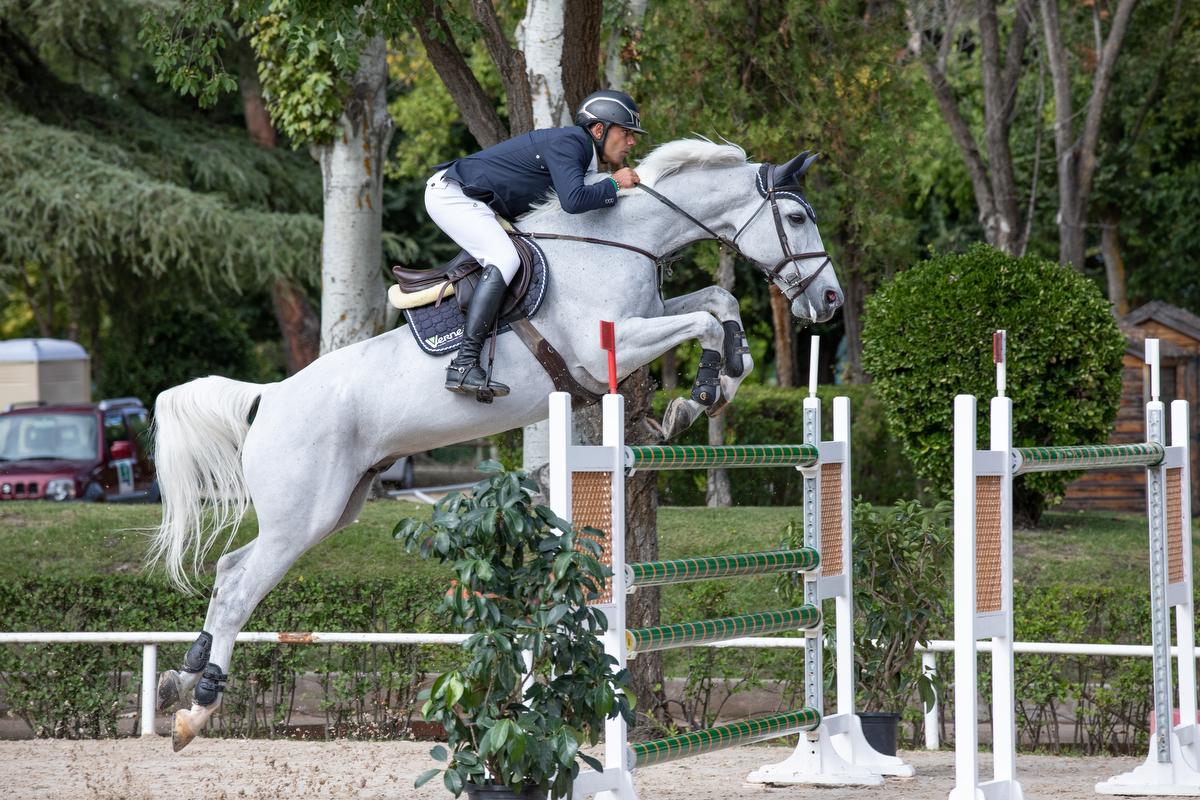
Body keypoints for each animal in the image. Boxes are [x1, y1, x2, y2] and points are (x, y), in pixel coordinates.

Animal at [152, 139, 844, 753]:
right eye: (797, 217)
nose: (830, 300)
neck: (621, 240)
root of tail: (268, 398)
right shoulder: (609, 346)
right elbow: (703, 316)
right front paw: (702, 388)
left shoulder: (647, 319)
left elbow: (716, 300)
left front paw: (713, 383)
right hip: (304, 515)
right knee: (238, 589)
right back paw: (199, 708)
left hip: (334, 507)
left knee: (228, 572)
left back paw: (179, 683)